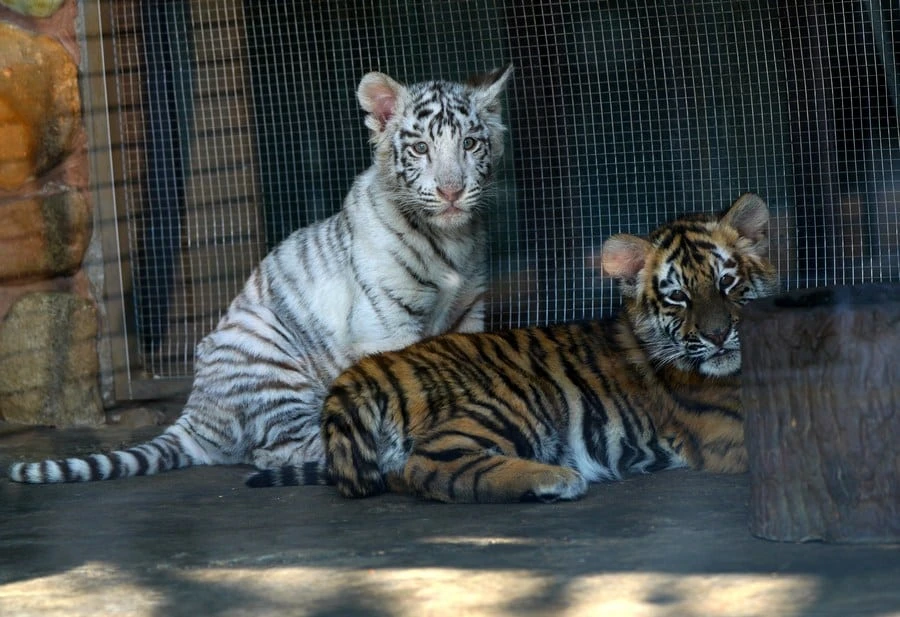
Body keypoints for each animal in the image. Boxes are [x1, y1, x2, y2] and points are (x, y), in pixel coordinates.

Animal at [8, 65, 513, 484]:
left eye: (469, 144)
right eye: (421, 147)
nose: (451, 192)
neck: (452, 238)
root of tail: (195, 411)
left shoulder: (467, 312)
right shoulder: (386, 322)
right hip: (271, 363)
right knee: (278, 448)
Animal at [247, 193, 780, 502]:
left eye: (727, 283)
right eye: (677, 297)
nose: (717, 336)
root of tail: (370, 368)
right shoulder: (728, 433)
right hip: (511, 404)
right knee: (429, 466)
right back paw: (555, 479)